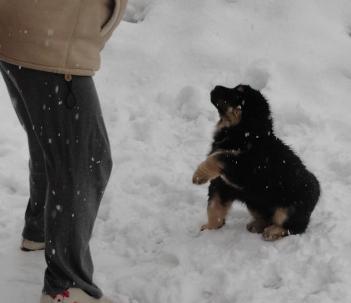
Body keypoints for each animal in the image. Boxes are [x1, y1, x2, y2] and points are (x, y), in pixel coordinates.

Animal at [194, 84, 320, 241]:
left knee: (294, 227)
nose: (216, 87)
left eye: (238, 95)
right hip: (255, 203)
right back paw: (257, 225)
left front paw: (198, 176)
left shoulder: (245, 166)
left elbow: (218, 157)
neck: (243, 133)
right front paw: (209, 228)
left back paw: (273, 232)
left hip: (290, 208)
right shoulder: (221, 184)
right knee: (267, 218)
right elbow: (214, 207)